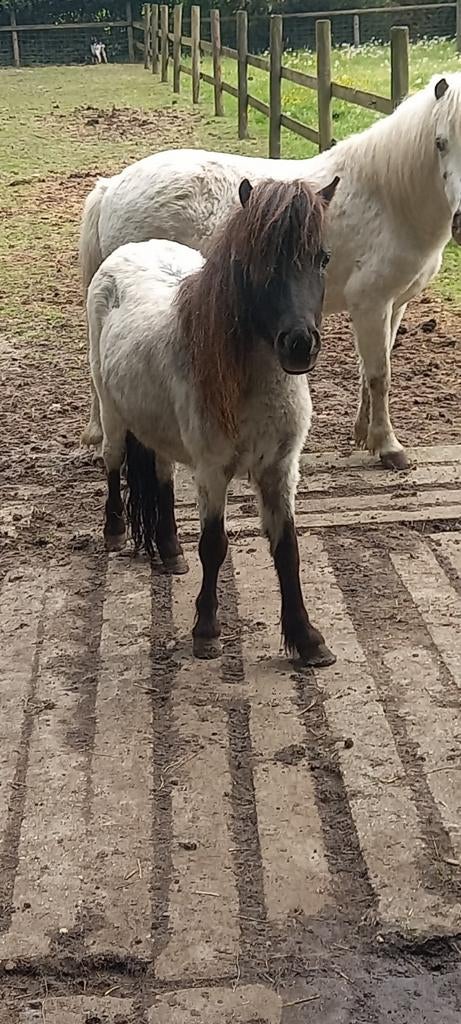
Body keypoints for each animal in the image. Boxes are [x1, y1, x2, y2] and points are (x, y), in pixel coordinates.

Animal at [80, 73, 461, 471]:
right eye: (440, 142)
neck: (386, 198)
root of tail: (112, 187)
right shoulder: (371, 304)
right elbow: (379, 376)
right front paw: (389, 446)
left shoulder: (394, 304)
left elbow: (367, 371)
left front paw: (364, 434)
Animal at [87, 176, 339, 667]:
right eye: (256, 261)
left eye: (322, 258)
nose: (299, 344)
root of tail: (131, 250)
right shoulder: (212, 472)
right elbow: (214, 546)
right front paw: (206, 630)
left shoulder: (280, 471)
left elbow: (287, 549)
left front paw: (307, 638)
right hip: (110, 408)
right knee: (112, 461)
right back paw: (114, 531)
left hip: (157, 427)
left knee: (161, 475)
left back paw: (169, 550)